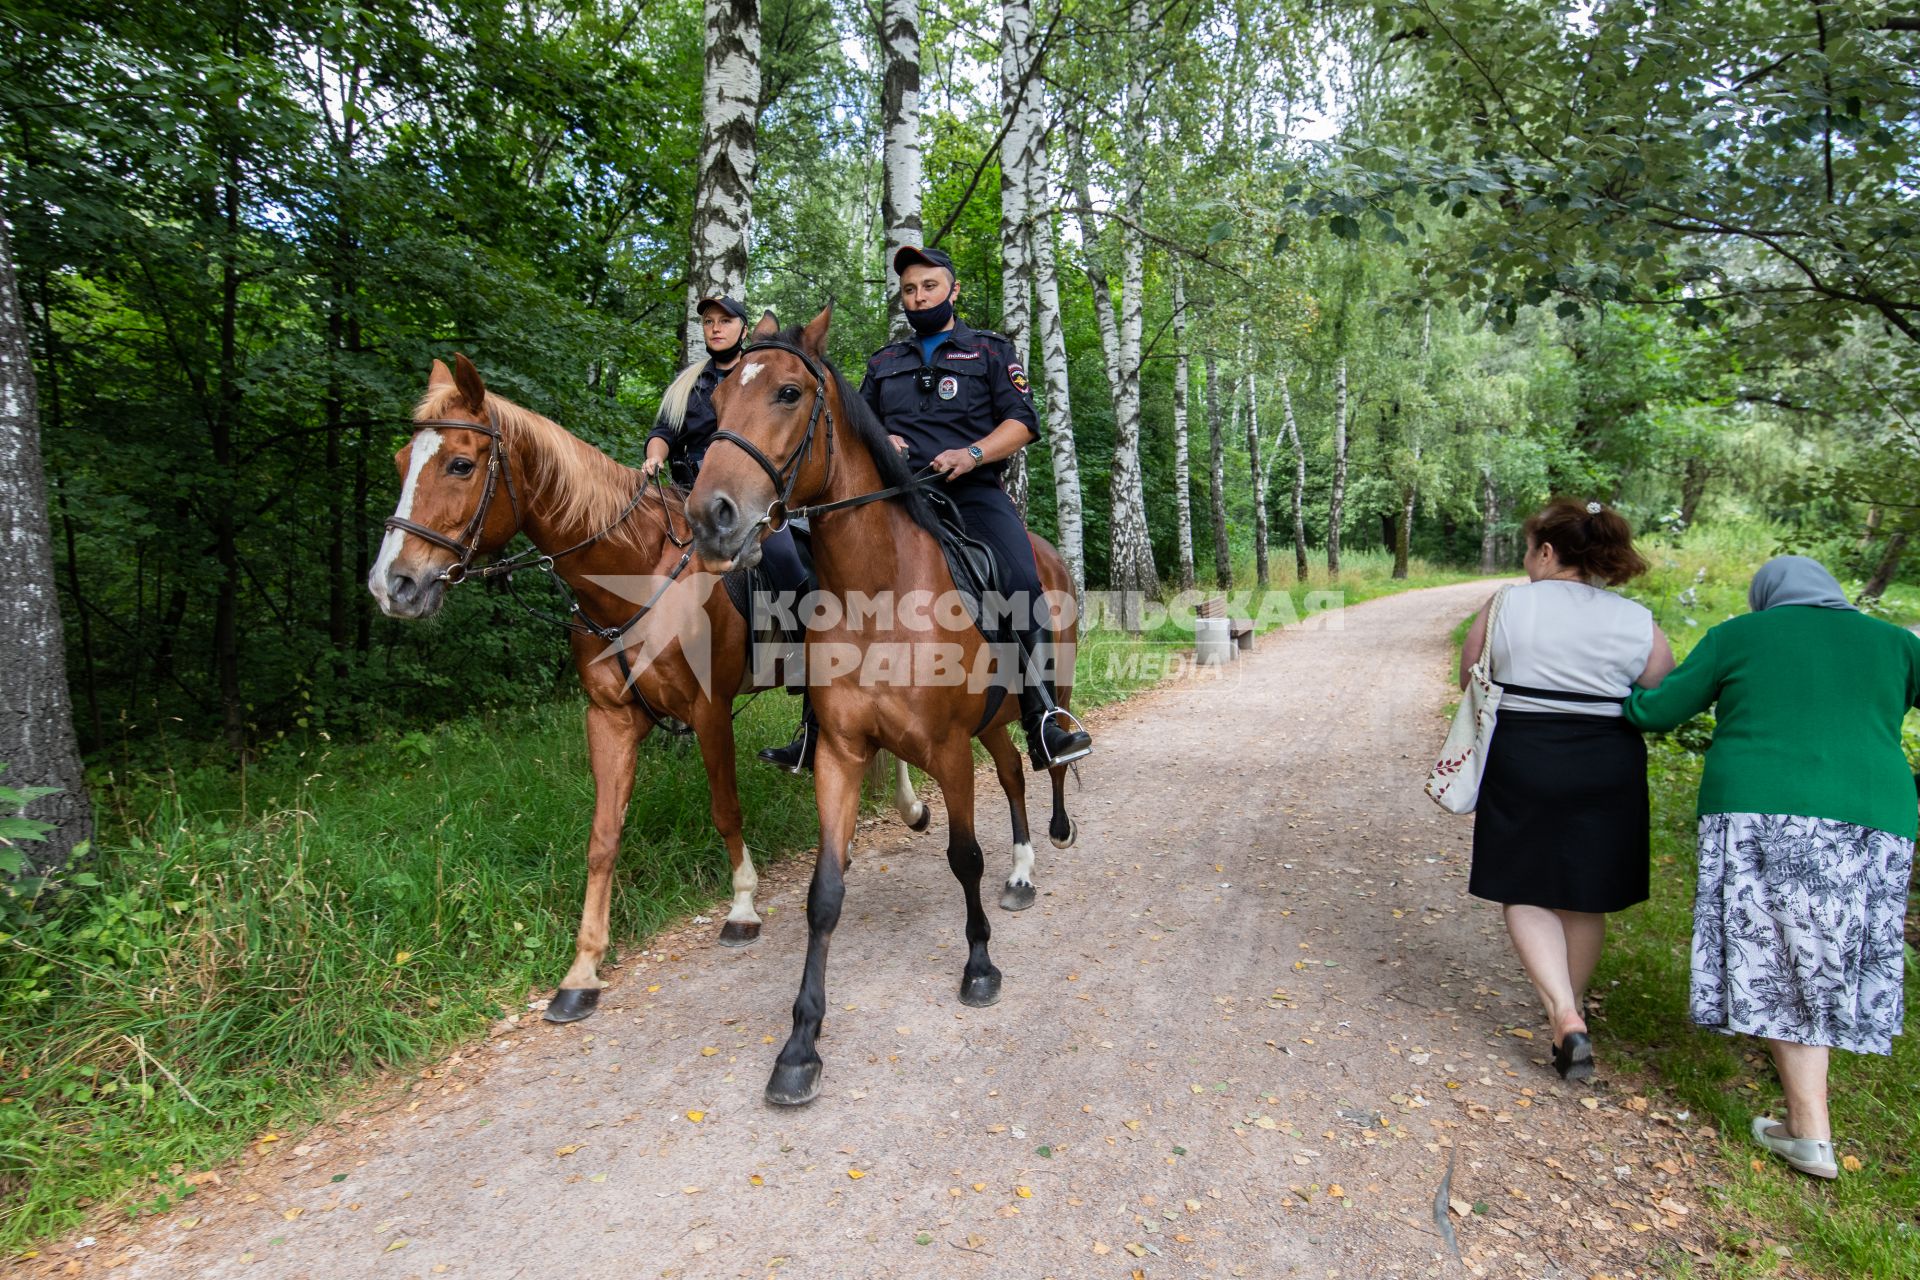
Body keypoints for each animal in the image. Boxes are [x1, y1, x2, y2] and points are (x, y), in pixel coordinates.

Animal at [370, 355, 933, 1028]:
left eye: (460, 464)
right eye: (401, 460)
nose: (392, 585)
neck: (634, 577)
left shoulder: (709, 711)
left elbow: (725, 808)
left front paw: (742, 907)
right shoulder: (608, 719)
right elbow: (602, 838)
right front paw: (582, 970)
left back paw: (910, 806)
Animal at [687, 310, 1082, 1113]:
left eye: (787, 392)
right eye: (719, 403)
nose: (711, 516)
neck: (878, 594)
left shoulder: (948, 749)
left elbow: (963, 856)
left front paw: (979, 967)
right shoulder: (840, 754)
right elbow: (824, 893)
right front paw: (800, 1046)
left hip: (1036, 699)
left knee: (1044, 761)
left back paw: (1048, 832)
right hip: (990, 724)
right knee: (1014, 778)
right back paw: (1022, 873)